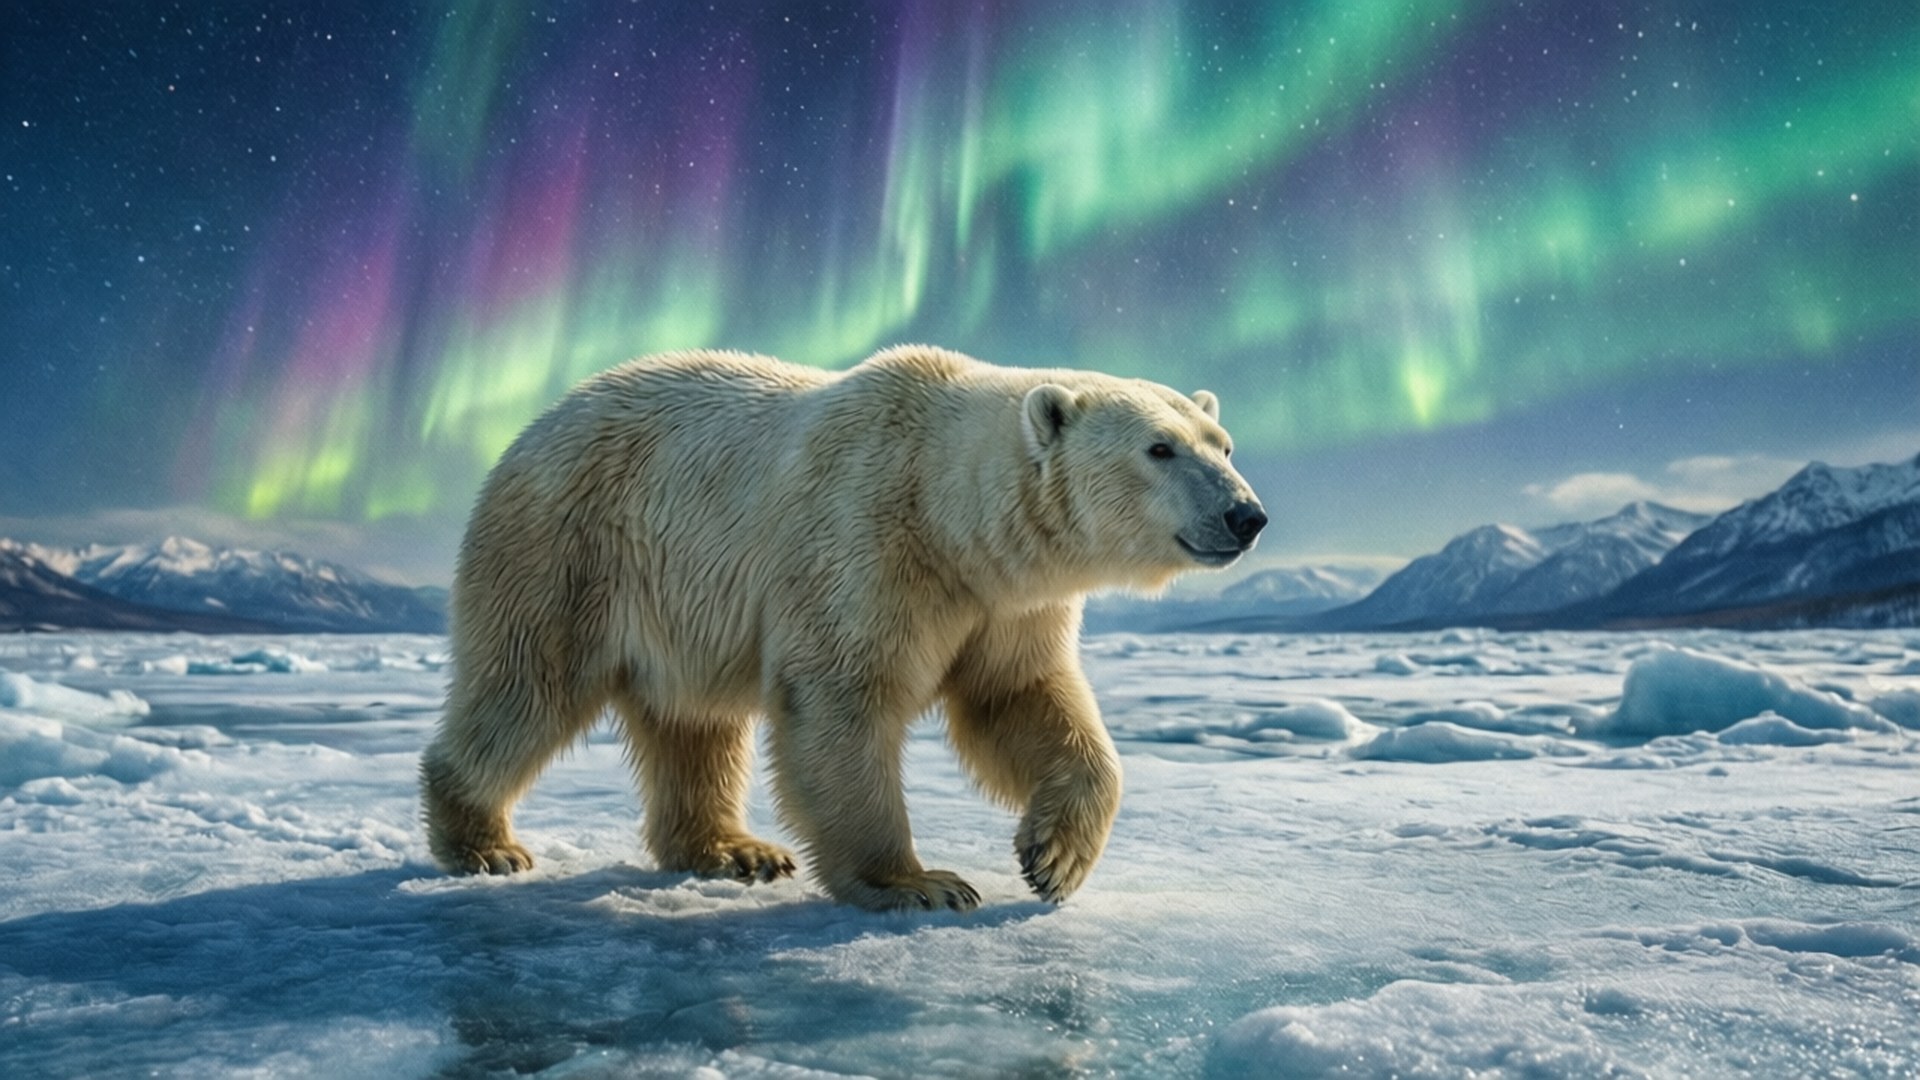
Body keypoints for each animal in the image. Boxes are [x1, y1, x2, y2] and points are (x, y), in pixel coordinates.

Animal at [421, 345, 1265, 911]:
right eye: (1159, 448)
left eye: (1223, 445)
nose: (1246, 515)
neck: (948, 512)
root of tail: (536, 424)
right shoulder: (867, 540)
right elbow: (842, 701)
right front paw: (919, 884)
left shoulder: (1003, 601)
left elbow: (1018, 699)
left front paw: (1053, 859)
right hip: (571, 546)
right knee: (527, 685)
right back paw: (485, 843)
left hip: (677, 600)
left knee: (693, 722)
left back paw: (734, 850)